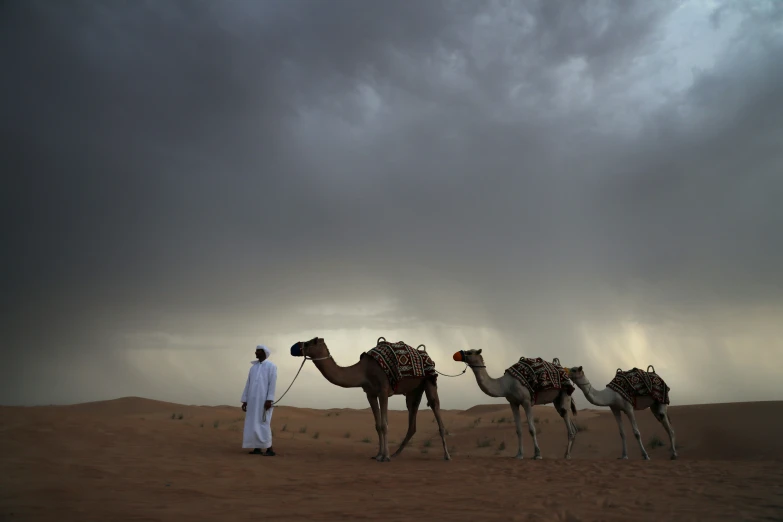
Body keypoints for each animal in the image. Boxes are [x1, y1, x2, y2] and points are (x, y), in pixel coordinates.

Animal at [290, 338, 450, 460]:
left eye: (310, 342)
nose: (294, 347)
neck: (364, 371)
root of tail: (426, 354)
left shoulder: (383, 391)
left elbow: (384, 425)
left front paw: (385, 457)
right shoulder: (370, 393)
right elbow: (378, 425)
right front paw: (378, 455)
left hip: (429, 381)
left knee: (435, 407)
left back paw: (447, 455)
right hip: (414, 390)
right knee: (412, 417)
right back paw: (396, 453)